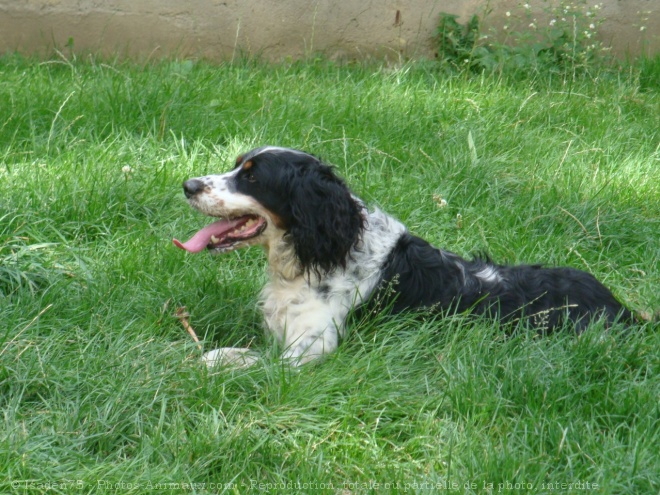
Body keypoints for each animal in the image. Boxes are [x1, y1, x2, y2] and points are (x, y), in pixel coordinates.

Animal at [174, 145, 636, 366]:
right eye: (237, 166)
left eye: (252, 178)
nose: (188, 184)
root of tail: (623, 309)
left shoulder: (313, 349)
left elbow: (250, 362)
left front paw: (205, 363)